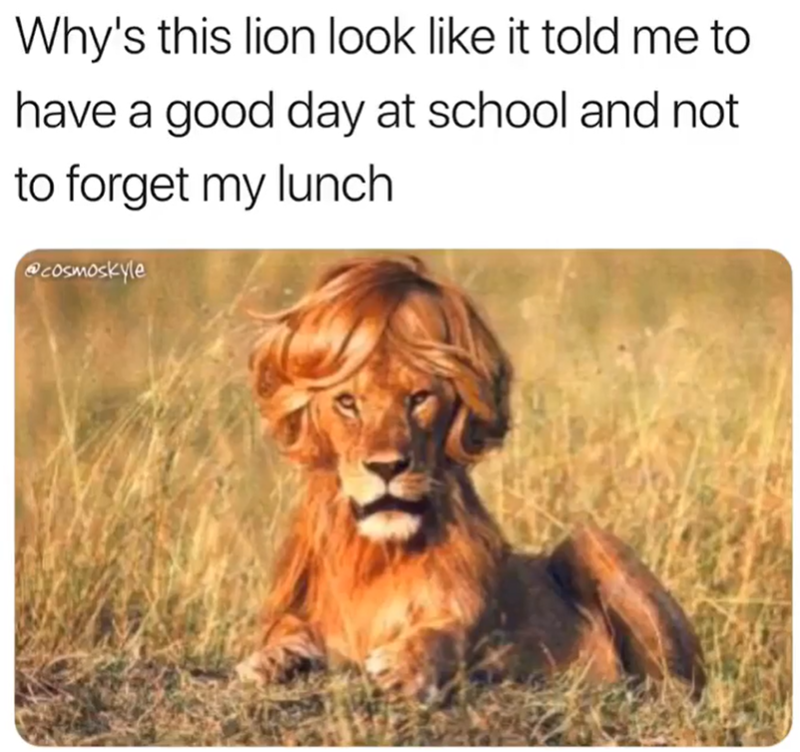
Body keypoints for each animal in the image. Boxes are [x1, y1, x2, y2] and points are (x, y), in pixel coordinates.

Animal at [236, 255, 706, 701]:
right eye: (347, 403)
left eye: (419, 398)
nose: (387, 467)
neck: (375, 555)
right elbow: (287, 629)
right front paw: (271, 659)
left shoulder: (485, 630)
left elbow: (447, 634)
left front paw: (404, 665)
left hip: (590, 541)